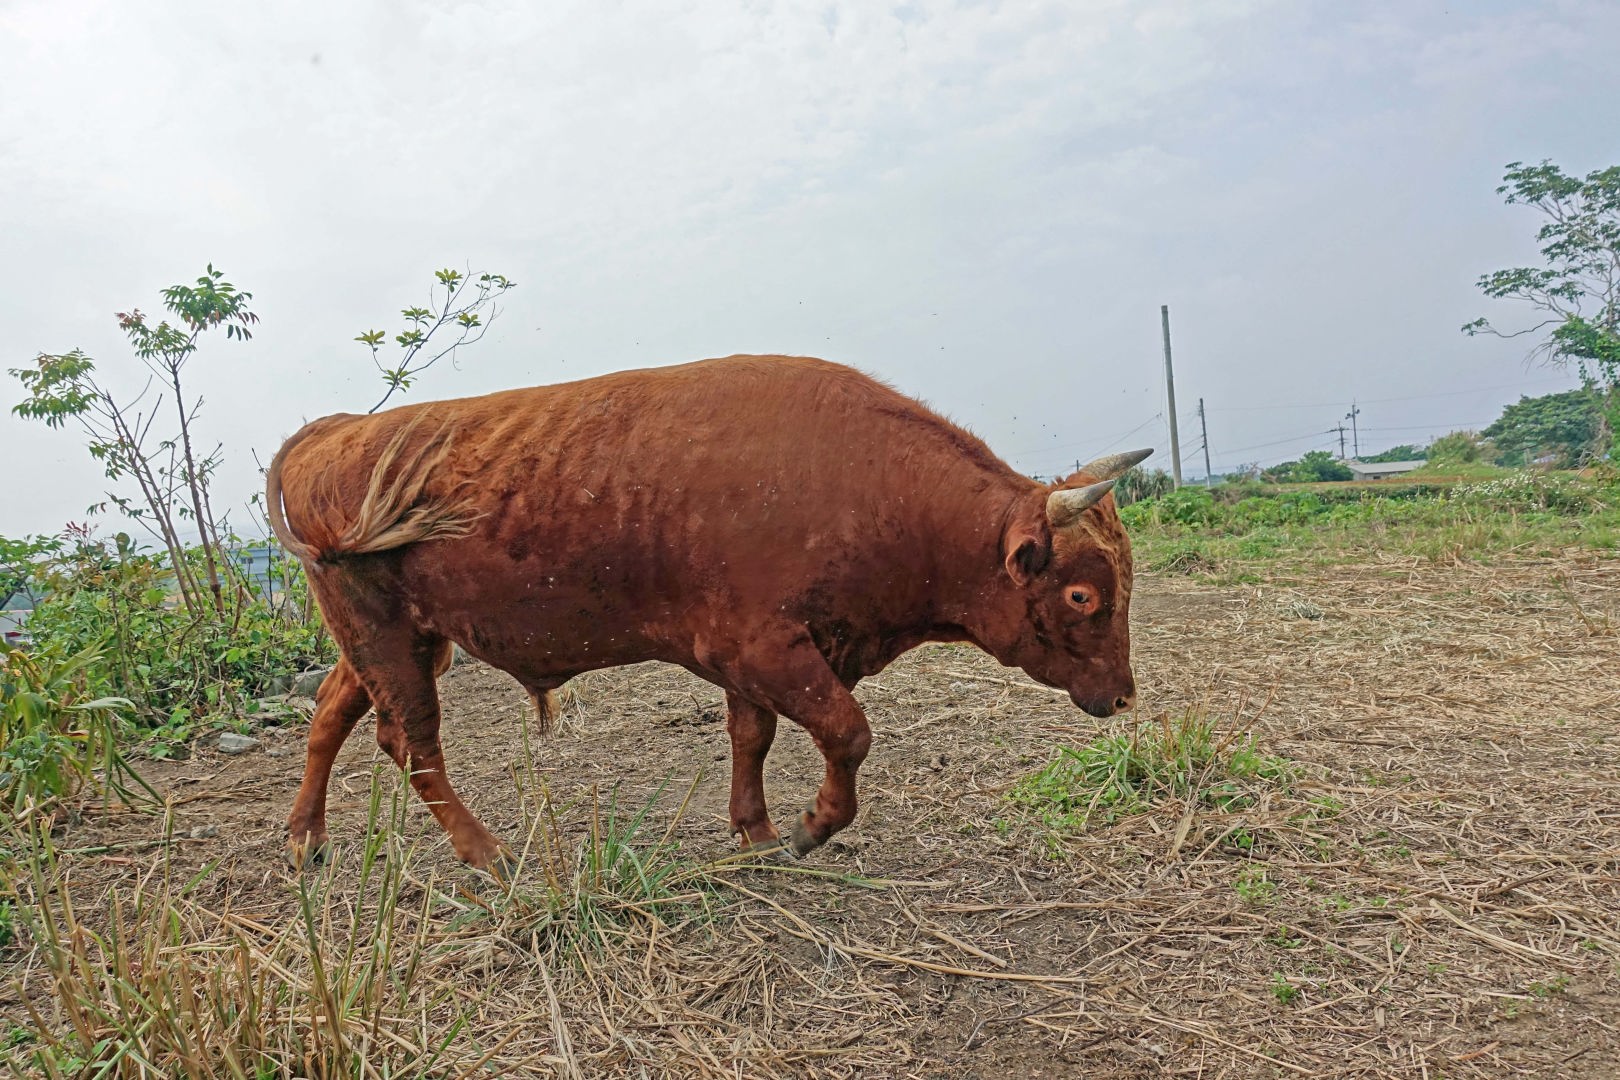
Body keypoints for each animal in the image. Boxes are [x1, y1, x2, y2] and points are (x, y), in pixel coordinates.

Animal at [267, 354, 1148, 873]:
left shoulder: (754, 661)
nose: (1123, 696)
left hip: (391, 639)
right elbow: (847, 733)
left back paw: (308, 839)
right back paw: (487, 853)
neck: (869, 485)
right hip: (386, 639)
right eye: (1083, 595)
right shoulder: (768, 650)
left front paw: (754, 831)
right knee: (408, 742)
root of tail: (334, 430)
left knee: (332, 714)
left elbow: (751, 737)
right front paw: (810, 827)